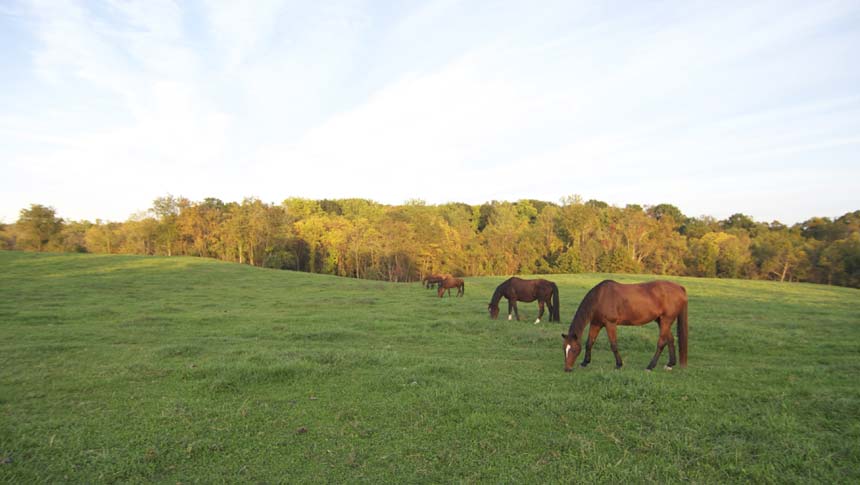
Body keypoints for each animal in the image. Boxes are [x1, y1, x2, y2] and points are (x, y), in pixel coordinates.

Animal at [560, 278, 688, 372]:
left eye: (574, 350)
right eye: (564, 348)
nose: (567, 369)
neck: (600, 297)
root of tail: (679, 288)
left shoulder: (610, 324)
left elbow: (613, 345)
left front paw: (619, 364)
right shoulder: (596, 324)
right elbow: (589, 343)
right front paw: (585, 362)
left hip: (666, 320)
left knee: (661, 343)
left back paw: (650, 366)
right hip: (661, 321)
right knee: (670, 340)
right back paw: (670, 364)